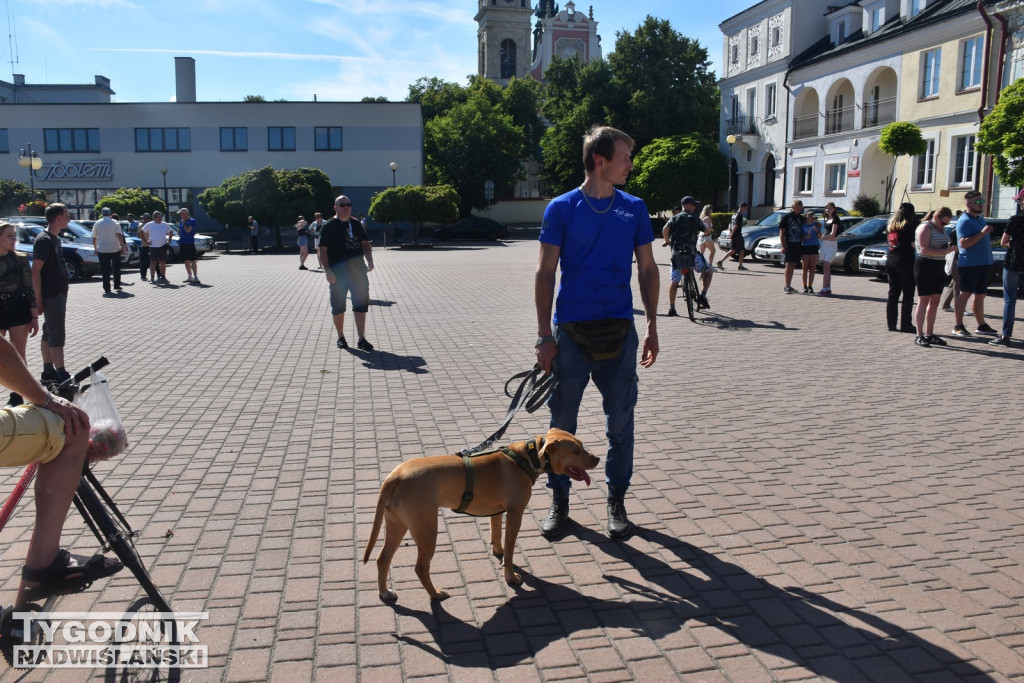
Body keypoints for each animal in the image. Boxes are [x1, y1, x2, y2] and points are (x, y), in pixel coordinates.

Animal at [362, 430, 598, 602]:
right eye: (576, 451)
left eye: (581, 446)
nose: (597, 458)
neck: (527, 458)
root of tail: (395, 476)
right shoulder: (516, 513)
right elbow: (510, 551)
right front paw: (510, 577)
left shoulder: (498, 511)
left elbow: (497, 537)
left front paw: (498, 552)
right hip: (426, 528)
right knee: (420, 568)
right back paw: (435, 594)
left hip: (397, 524)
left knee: (382, 559)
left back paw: (384, 592)